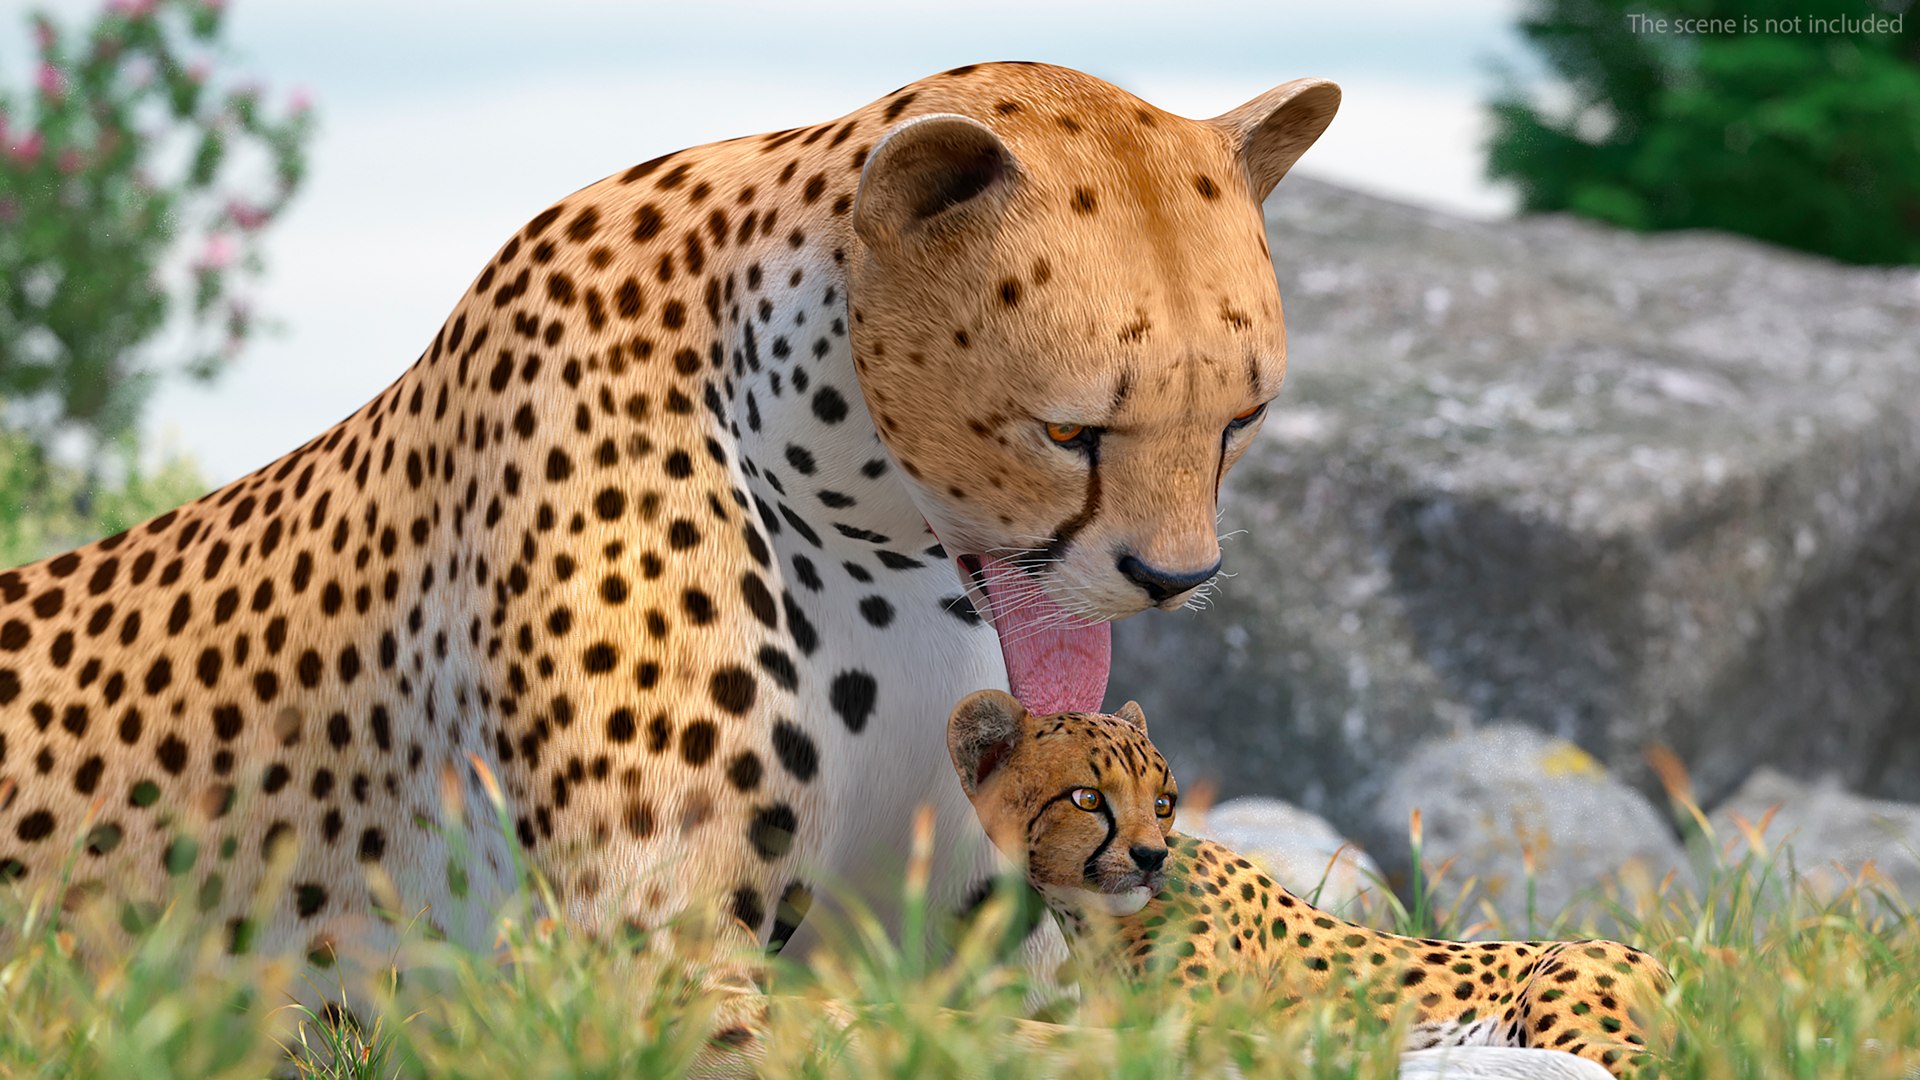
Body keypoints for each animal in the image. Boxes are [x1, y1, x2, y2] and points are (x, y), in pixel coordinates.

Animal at [947, 689, 1671, 1078]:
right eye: (1088, 798)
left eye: (1163, 803)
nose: (1152, 858)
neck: (1094, 916)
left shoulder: (1183, 1034)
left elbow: (1044, 1036)